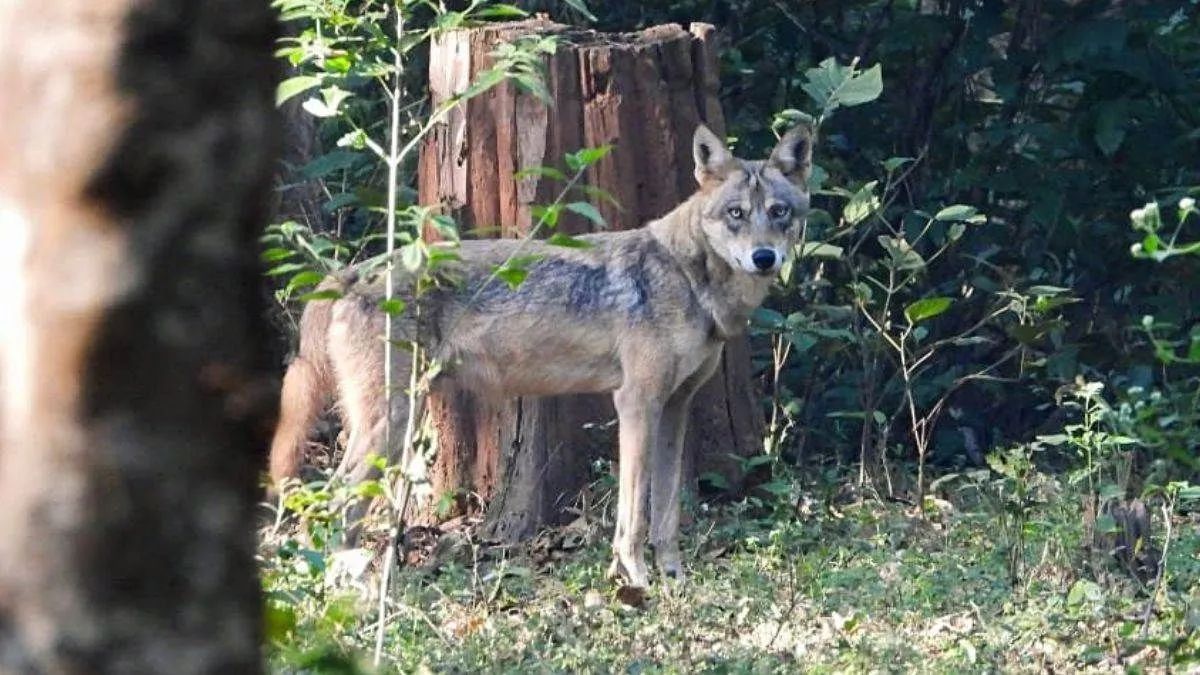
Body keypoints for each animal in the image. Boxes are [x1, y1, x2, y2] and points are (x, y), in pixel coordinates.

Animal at [268, 121, 814, 588]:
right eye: (735, 214)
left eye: (779, 213)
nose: (764, 258)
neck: (687, 276)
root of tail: (352, 271)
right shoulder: (636, 403)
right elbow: (633, 513)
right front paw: (635, 580)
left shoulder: (675, 407)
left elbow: (665, 514)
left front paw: (674, 578)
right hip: (393, 423)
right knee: (334, 496)